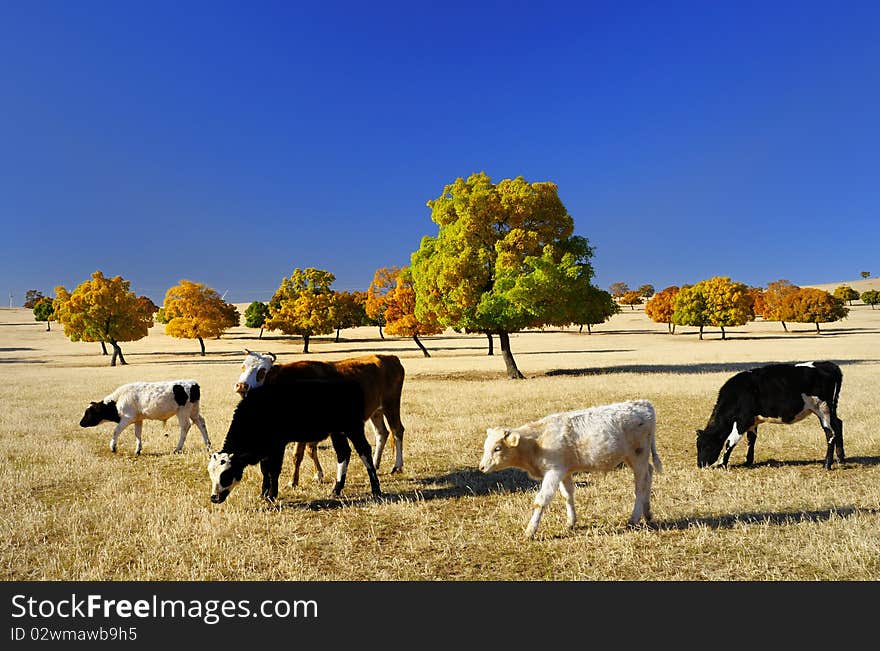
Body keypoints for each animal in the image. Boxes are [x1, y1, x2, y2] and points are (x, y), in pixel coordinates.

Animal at [80, 380, 211, 456]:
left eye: (89, 412)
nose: (81, 423)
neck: (118, 400)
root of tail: (193, 384)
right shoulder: (138, 419)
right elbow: (138, 434)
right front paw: (138, 450)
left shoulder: (127, 418)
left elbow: (116, 431)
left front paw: (113, 447)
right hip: (194, 411)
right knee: (201, 422)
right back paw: (208, 445)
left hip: (183, 412)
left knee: (185, 426)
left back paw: (178, 448)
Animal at [211, 376, 384, 504]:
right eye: (212, 475)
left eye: (225, 475)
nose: (214, 498)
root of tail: (350, 385)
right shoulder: (266, 449)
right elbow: (265, 470)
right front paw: (263, 493)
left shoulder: (278, 446)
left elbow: (274, 470)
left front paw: (272, 495)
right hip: (337, 432)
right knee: (343, 453)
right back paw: (336, 489)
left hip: (353, 428)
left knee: (364, 451)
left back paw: (376, 489)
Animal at [237, 348, 410, 486]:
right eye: (243, 366)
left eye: (262, 371)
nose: (241, 386)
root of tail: (390, 357)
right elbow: (310, 450)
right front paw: (318, 475)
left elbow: (298, 455)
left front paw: (293, 481)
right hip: (376, 411)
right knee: (382, 433)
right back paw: (375, 463)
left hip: (391, 404)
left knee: (397, 431)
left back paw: (397, 466)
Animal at [482, 400, 660, 536]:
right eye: (486, 446)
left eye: (497, 448)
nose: (481, 467)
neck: (536, 442)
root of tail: (643, 404)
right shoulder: (564, 471)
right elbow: (567, 495)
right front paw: (571, 522)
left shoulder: (553, 472)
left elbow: (541, 500)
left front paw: (530, 531)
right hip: (634, 458)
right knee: (649, 474)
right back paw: (647, 513)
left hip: (638, 456)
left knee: (640, 485)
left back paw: (634, 519)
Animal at [696, 362, 844, 468]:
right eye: (698, 445)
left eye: (707, 445)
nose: (700, 465)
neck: (737, 394)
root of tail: (828, 364)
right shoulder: (753, 421)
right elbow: (751, 439)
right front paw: (748, 461)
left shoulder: (743, 420)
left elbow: (730, 441)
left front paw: (722, 463)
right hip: (830, 410)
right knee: (838, 424)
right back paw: (840, 458)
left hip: (822, 409)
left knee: (830, 433)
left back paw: (827, 465)